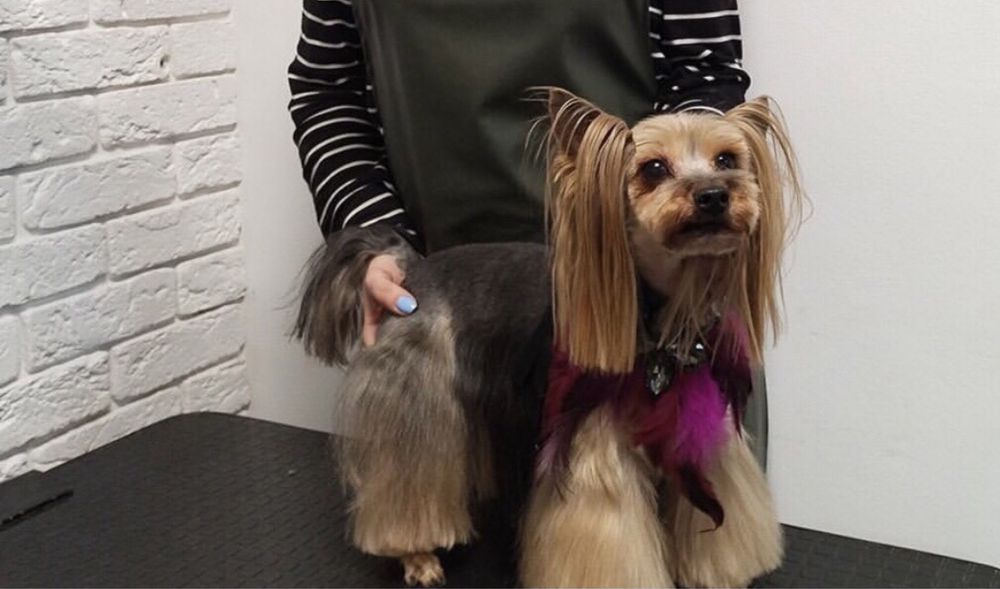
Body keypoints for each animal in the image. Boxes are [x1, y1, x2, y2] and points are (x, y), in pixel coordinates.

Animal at [295, 88, 804, 587]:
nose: (715, 195)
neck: (663, 311)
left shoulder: (701, 427)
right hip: (416, 392)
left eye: (727, 159)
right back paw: (418, 557)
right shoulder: (591, 444)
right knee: (408, 479)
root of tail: (412, 269)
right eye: (654, 168)